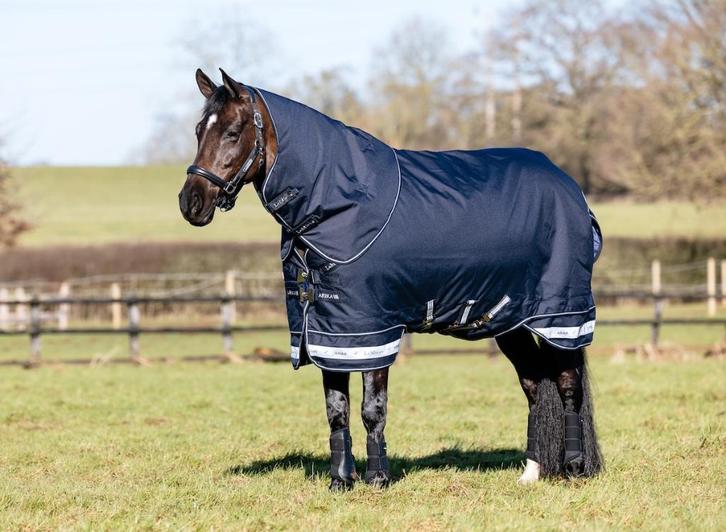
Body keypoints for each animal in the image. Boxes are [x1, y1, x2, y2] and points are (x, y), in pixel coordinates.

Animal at [179, 68, 603, 490]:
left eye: (233, 132)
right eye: (199, 130)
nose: (190, 203)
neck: (340, 203)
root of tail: (569, 186)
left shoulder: (372, 329)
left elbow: (372, 408)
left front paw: (378, 478)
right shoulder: (330, 331)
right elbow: (336, 408)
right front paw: (340, 481)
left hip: (561, 316)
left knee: (568, 384)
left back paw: (574, 468)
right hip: (510, 322)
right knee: (534, 385)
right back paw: (531, 472)